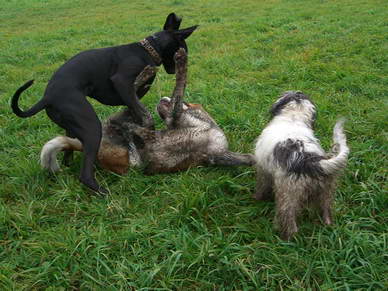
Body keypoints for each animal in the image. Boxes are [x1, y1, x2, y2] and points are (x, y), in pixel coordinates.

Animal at [10, 13, 199, 194]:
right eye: (183, 50)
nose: (173, 70)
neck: (146, 49)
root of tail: (47, 98)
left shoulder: (129, 96)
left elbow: (136, 109)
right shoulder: (122, 83)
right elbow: (143, 111)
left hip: (72, 126)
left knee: (68, 155)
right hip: (91, 127)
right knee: (85, 175)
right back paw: (103, 193)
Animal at [41, 48, 255, 180]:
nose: (161, 100)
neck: (209, 124)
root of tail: (86, 145)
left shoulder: (214, 150)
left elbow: (249, 159)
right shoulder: (176, 116)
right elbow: (180, 86)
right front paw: (181, 61)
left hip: (134, 150)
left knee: (135, 110)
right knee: (130, 99)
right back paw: (143, 77)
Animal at [253, 92, 350, 241]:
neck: (293, 118)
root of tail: (311, 161)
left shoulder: (262, 170)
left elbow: (261, 187)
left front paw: (257, 198)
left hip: (288, 195)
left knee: (289, 221)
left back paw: (286, 238)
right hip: (326, 192)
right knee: (327, 212)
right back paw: (327, 225)